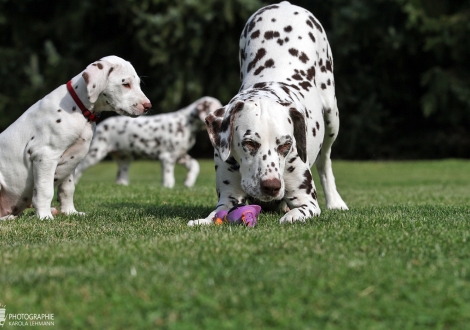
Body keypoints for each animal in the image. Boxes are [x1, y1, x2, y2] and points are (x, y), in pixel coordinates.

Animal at [0, 55, 151, 220]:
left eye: (138, 84)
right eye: (125, 84)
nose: (148, 106)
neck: (80, 109)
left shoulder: (71, 160)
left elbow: (67, 190)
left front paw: (70, 212)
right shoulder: (45, 156)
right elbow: (45, 190)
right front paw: (45, 217)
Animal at [73, 96, 222, 187]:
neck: (186, 124)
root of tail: (102, 124)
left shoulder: (180, 155)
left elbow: (195, 165)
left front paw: (188, 181)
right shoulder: (167, 157)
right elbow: (168, 176)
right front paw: (168, 186)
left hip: (124, 159)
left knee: (120, 176)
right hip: (96, 153)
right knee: (79, 169)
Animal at [189, 0, 346, 226]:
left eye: (286, 145)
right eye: (249, 143)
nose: (271, 186)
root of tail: (284, 5)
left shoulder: (307, 201)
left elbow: (297, 212)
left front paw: (290, 216)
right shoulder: (228, 198)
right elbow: (216, 213)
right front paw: (202, 221)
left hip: (332, 117)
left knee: (325, 161)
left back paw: (335, 201)